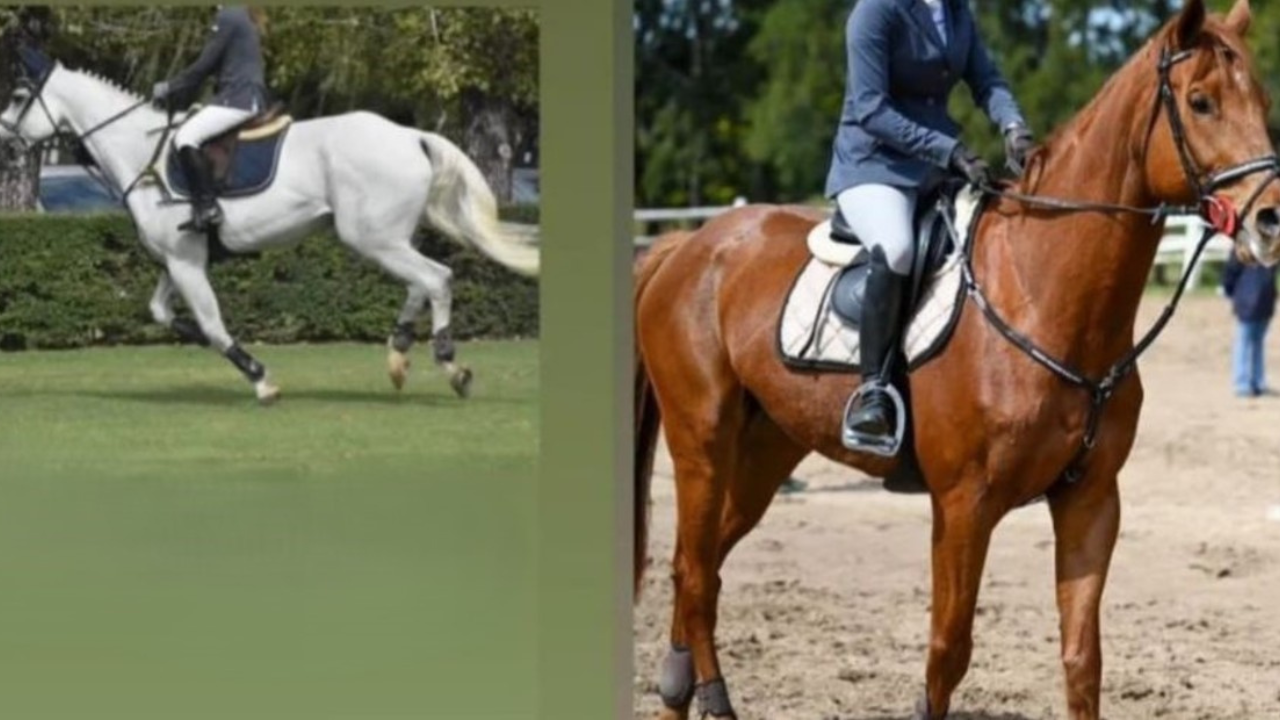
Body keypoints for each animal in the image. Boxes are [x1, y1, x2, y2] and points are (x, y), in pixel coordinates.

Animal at [0, 49, 538, 403]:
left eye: (20, 95)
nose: (5, 144)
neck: (141, 153)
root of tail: (409, 135)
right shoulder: (175, 261)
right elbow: (161, 312)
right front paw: (193, 337)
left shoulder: (186, 262)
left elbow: (213, 325)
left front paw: (260, 378)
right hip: (381, 238)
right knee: (419, 284)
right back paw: (399, 355)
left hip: (372, 238)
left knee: (436, 278)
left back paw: (450, 366)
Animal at [634, 1, 1280, 718]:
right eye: (1200, 102)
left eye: (1262, 102)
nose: (1271, 222)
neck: (1040, 293)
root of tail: (691, 244)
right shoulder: (965, 504)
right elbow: (948, 652)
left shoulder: (1091, 501)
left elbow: (1083, 659)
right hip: (703, 441)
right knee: (693, 568)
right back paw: (708, 697)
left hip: (765, 452)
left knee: (702, 565)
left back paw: (682, 691)